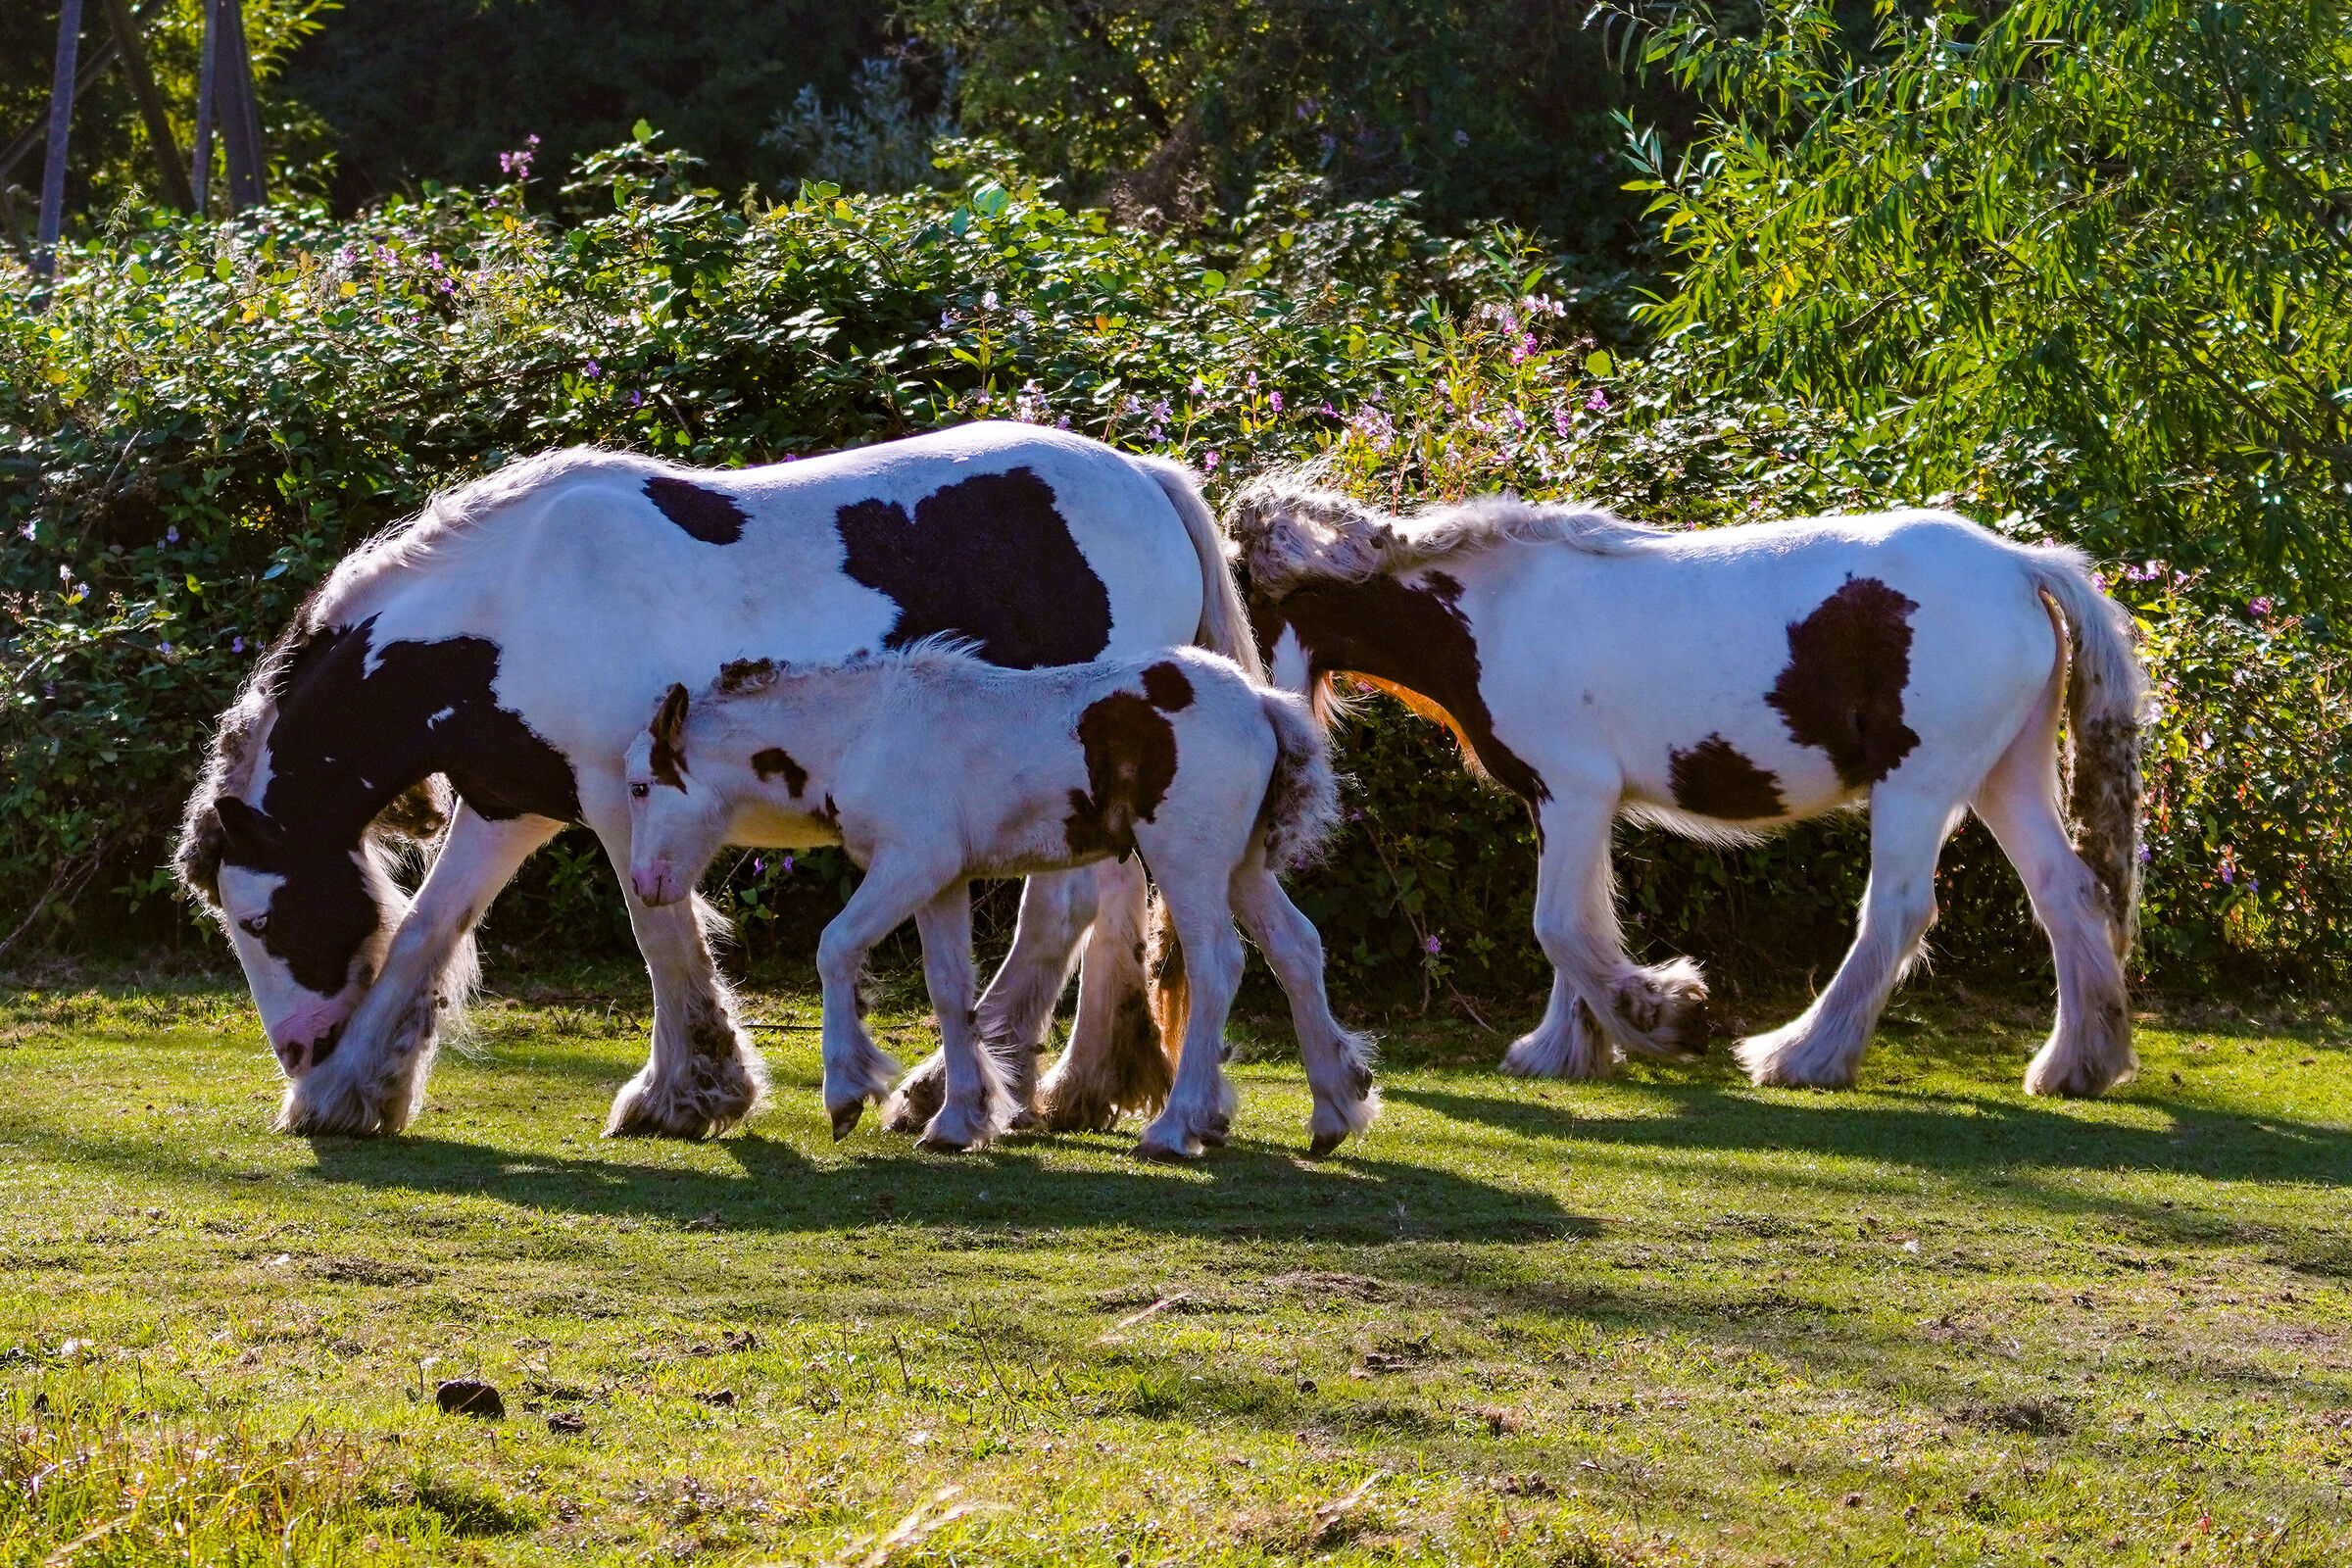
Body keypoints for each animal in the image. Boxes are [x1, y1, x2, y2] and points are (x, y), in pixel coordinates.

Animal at [173, 422, 1262, 1139]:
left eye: (261, 920)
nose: (298, 1048)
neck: (510, 604)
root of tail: (1144, 478)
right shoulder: (507, 802)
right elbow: (426, 933)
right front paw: (348, 1093)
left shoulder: (621, 799)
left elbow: (660, 933)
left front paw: (687, 1093)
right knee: (1107, 912)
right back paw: (1076, 1085)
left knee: (1064, 914)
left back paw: (951, 1090)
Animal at [624, 643, 1375, 1159]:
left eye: (637, 786)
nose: (646, 884)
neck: (862, 729)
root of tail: (1261, 701)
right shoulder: (943, 880)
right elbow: (950, 989)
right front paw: (957, 1121)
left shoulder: (910, 862)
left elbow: (835, 946)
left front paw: (847, 1094)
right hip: (1242, 866)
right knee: (1297, 950)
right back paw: (1335, 1111)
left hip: (1187, 861)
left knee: (1220, 964)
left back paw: (1173, 1127)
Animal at [1225, 480, 2148, 1097]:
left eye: (1242, 599)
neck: (1490, 614)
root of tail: (2021, 565)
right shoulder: (1566, 804)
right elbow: (1582, 923)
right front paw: (1565, 1049)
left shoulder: (1573, 793)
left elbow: (1560, 925)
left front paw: (1665, 1015)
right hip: (2002, 777)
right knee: (2068, 894)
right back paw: (2077, 1065)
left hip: (1918, 786)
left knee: (1897, 912)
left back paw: (1802, 1056)